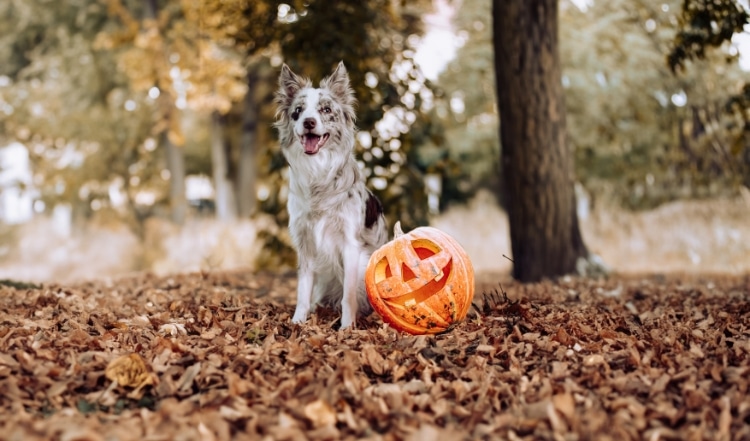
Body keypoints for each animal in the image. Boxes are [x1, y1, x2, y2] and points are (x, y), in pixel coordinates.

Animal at [274, 62, 388, 330]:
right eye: (298, 111)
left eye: (326, 110)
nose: (308, 122)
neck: (319, 175)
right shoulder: (305, 242)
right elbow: (303, 289)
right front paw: (298, 321)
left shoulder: (350, 244)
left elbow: (348, 294)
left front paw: (346, 327)